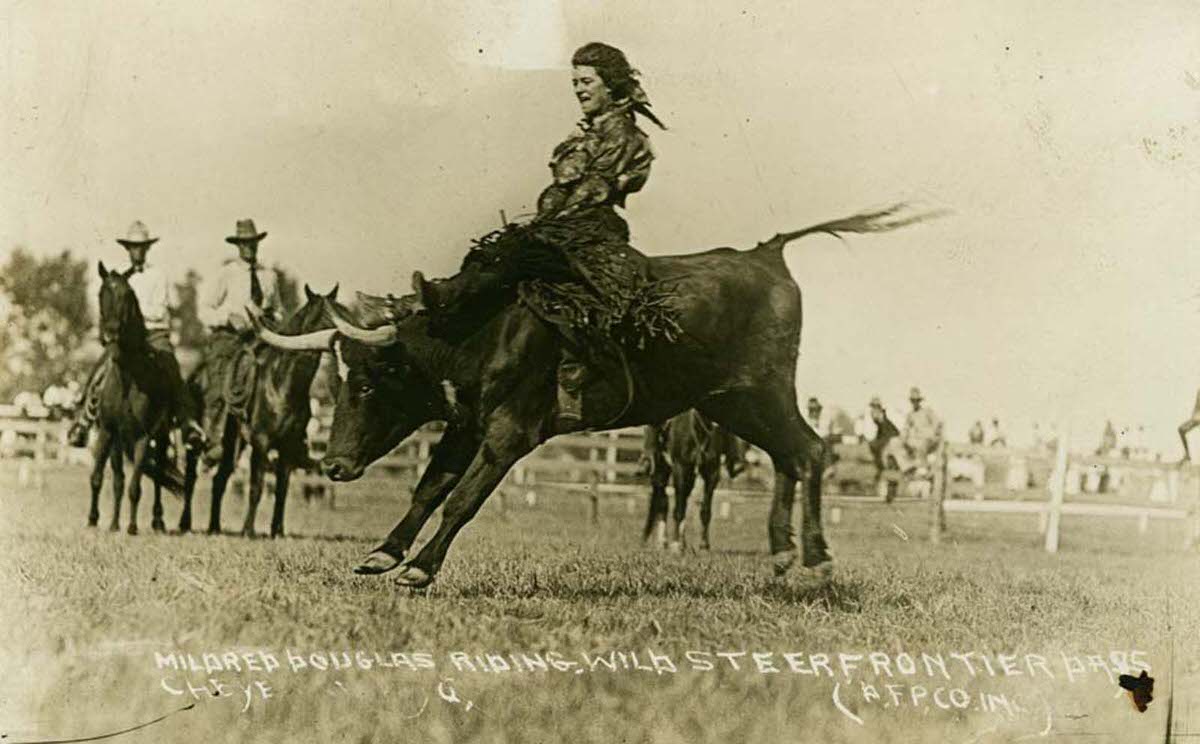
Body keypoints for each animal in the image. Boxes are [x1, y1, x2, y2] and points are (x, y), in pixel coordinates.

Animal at [87, 264, 186, 532]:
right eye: (101, 294)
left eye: (127, 295)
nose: (110, 333)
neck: (128, 378)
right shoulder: (109, 432)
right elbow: (105, 479)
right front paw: (103, 522)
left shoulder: (143, 437)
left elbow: (135, 486)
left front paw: (131, 527)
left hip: (161, 438)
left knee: (159, 477)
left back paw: (158, 521)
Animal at [187, 283, 338, 535]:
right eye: (323, 316)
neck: (281, 384)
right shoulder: (261, 442)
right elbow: (256, 487)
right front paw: (248, 530)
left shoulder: (288, 447)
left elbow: (282, 490)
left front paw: (277, 531)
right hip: (197, 439)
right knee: (191, 477)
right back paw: (185, 524)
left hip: (233, 445)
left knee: (219, 480)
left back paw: (214, 527)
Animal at [643, 412, 744, 552]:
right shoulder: (680, 468)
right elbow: (679, 509)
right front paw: (675, 544)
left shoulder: (711, 472)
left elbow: (705, 510)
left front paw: (704, 545)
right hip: (661, 470)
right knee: (662, 502)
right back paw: (663, 541)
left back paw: (682, 543)